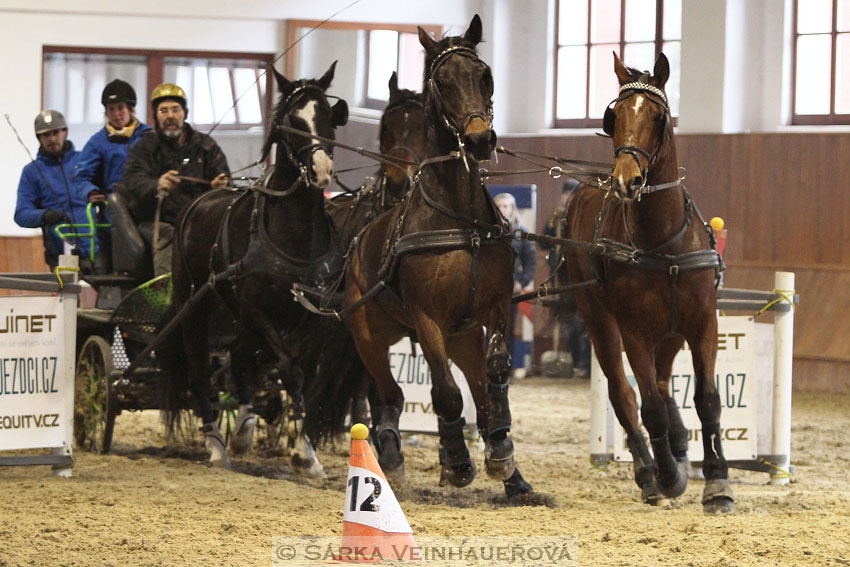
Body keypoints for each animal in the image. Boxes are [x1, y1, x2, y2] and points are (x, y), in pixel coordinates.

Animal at [162, 63, 348, 474]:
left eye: (329, 116)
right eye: (293, 120)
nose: (321, 170)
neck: (294, 234)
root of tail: (201, 198)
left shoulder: (316, 318)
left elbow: (306, 378)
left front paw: (306, 450)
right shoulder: (260, 312)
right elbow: (290, 369)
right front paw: (299, 451)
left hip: (239, 314)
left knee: (238, 356)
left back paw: (244, 428)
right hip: (194, 304)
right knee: (201, 368)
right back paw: (216, 444)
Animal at [326, 14, 528, 496]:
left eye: (484, 75)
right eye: (442, 81)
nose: (479, 139)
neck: (458, 217)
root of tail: (356, 247)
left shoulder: (493, 307)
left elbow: (494, 374)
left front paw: (500, 450)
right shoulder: (426, 317)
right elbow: (446, 395)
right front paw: (455, 462)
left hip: (462, 336)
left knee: (476, 390)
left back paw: (513, 475)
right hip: (369, 336)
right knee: (389, 396)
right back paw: (392, 460)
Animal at [560, 53, 732, 516]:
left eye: (658, 116)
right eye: (614, 116)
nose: (627, 181)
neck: (664, 239)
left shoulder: (702, 323)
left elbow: (707, 400)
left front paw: (718, 483)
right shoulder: (634, 330)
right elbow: (648, 405)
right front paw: (667, 476)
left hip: (669, 333)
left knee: (661, 381)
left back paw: (679, 446)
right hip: (600, 321)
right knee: (626, 394)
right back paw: (649, 472)